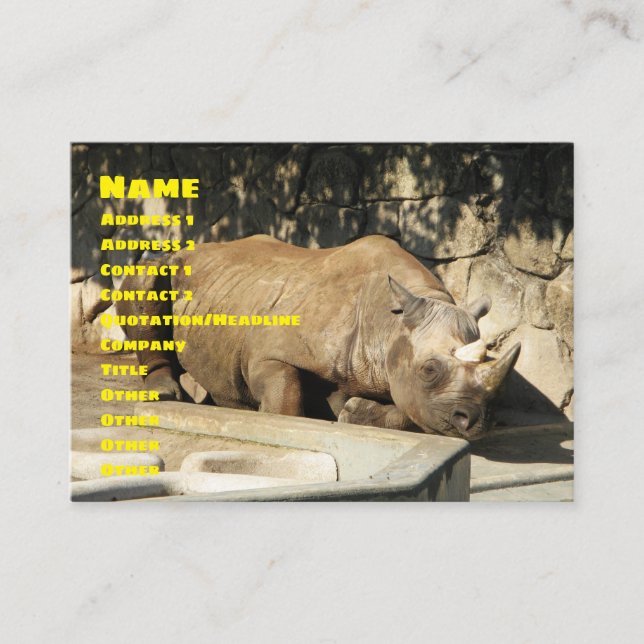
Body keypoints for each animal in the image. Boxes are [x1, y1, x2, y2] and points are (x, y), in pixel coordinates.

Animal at [116, 235, 520, 440]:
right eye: (429, 370)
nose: (476, 421)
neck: (388, 323)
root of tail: (196, 248)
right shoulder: (270, 355)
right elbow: (286, 398)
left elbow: (412, 412)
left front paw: (354, 411)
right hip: (169, 263)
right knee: (146, 275)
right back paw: (166, 394)